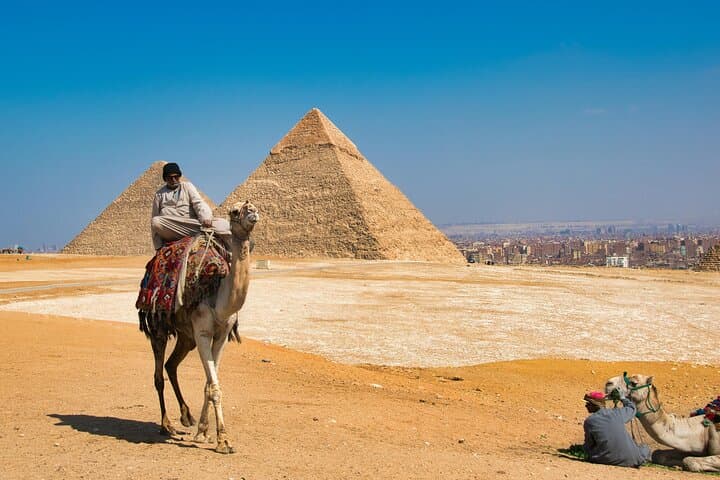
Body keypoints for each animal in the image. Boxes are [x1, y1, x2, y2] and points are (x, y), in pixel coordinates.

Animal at [143, 200, 259, 454]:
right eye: (234, 211)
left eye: (254, 206)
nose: (253, 213)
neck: (217, 292)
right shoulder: (203, 332)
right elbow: (214, 386)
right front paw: (223, 441)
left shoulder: (222, 335)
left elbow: (209, 383)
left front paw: (204, 432)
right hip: (158, 327)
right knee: (158, 374)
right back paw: (166, 425)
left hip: (187, 338)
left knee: (171, 365)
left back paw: (187, 416)